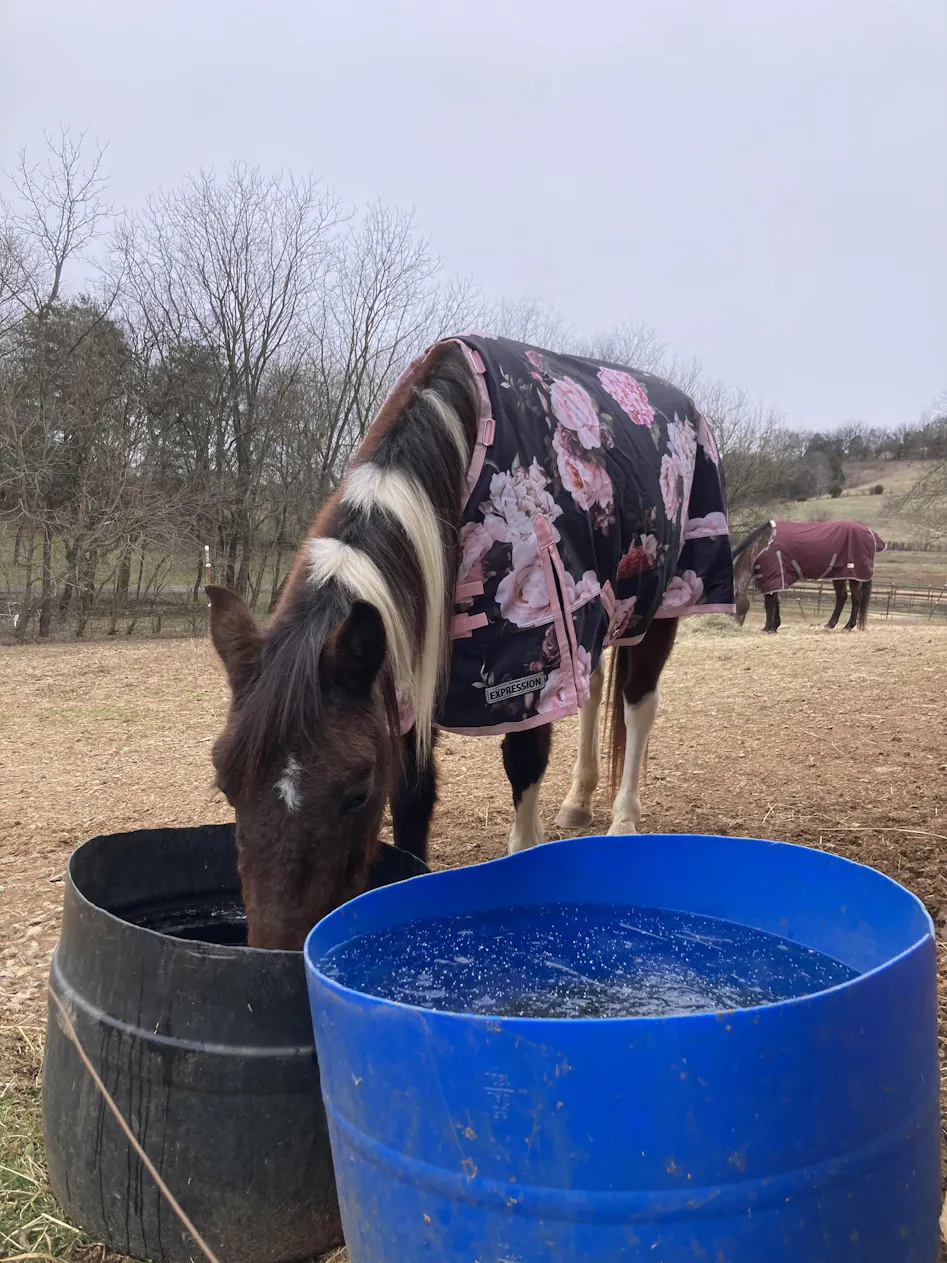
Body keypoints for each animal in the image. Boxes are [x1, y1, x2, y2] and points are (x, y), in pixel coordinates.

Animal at [207, 334, 733, 949]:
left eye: (357, 792)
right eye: (227, 787)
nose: (277, 949)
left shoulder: (530, 663)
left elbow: (524, 761)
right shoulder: (406, 675)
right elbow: (413, 794)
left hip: (664, 602)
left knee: (638, 703)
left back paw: (624, 819)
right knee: (593, 694)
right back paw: (578, 803)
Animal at [732, 519, 886, 633]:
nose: (734, 625)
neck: (762, 546)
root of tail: (869, 531)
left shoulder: (773, 576)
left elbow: (769, 603)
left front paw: (767, 628)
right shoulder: (775, 578)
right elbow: (776, 602)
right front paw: (774, 626)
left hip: (854, 576)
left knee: (856, 599)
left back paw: (848, 626)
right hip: (839, 575)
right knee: (842, 597)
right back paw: (830, 625)